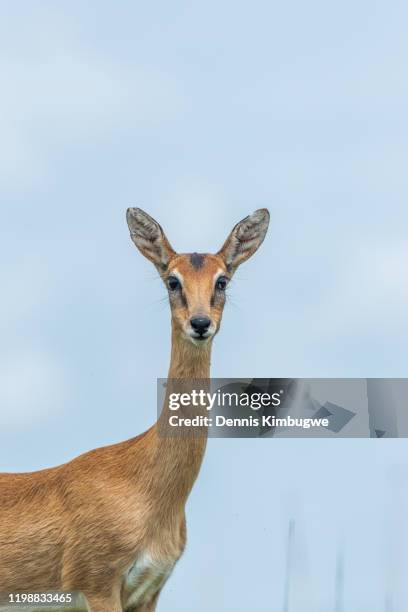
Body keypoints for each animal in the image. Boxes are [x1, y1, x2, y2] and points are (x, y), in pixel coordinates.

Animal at [0, 208, 270, 608]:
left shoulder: (149, 591)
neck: (147, 487)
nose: (200, 323)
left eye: (222, 280)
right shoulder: (98, 584)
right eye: (172, 280)